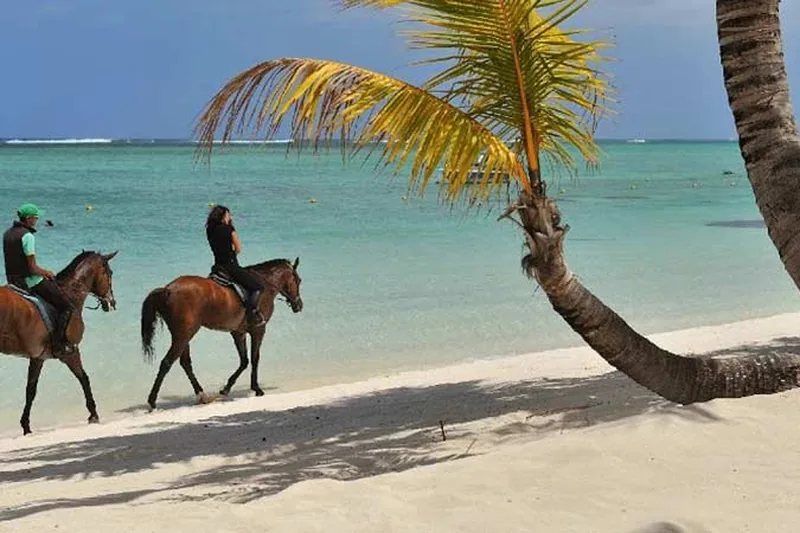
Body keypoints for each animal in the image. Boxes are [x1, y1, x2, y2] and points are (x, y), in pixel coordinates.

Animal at [0, 250, 118, 435]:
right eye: (110, 273)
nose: (112, 302)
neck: (69, 294)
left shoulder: (38, 358)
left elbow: (30, 390)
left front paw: (26, 426)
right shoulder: (71, 352)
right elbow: (84, 378)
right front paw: (93, 414)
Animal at [140, 257, 303, 410]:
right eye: (298, 280)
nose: (299, 305)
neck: (266, 285)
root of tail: (168, 289)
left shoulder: (238, 332)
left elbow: (244, 360)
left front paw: (226, 388)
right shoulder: (258, 330)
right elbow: (254, 358)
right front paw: (256, 389)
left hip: (183, 336)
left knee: (185, 363)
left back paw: (202, 395)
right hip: (183, 335)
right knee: (167, 363)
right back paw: (152, 401)